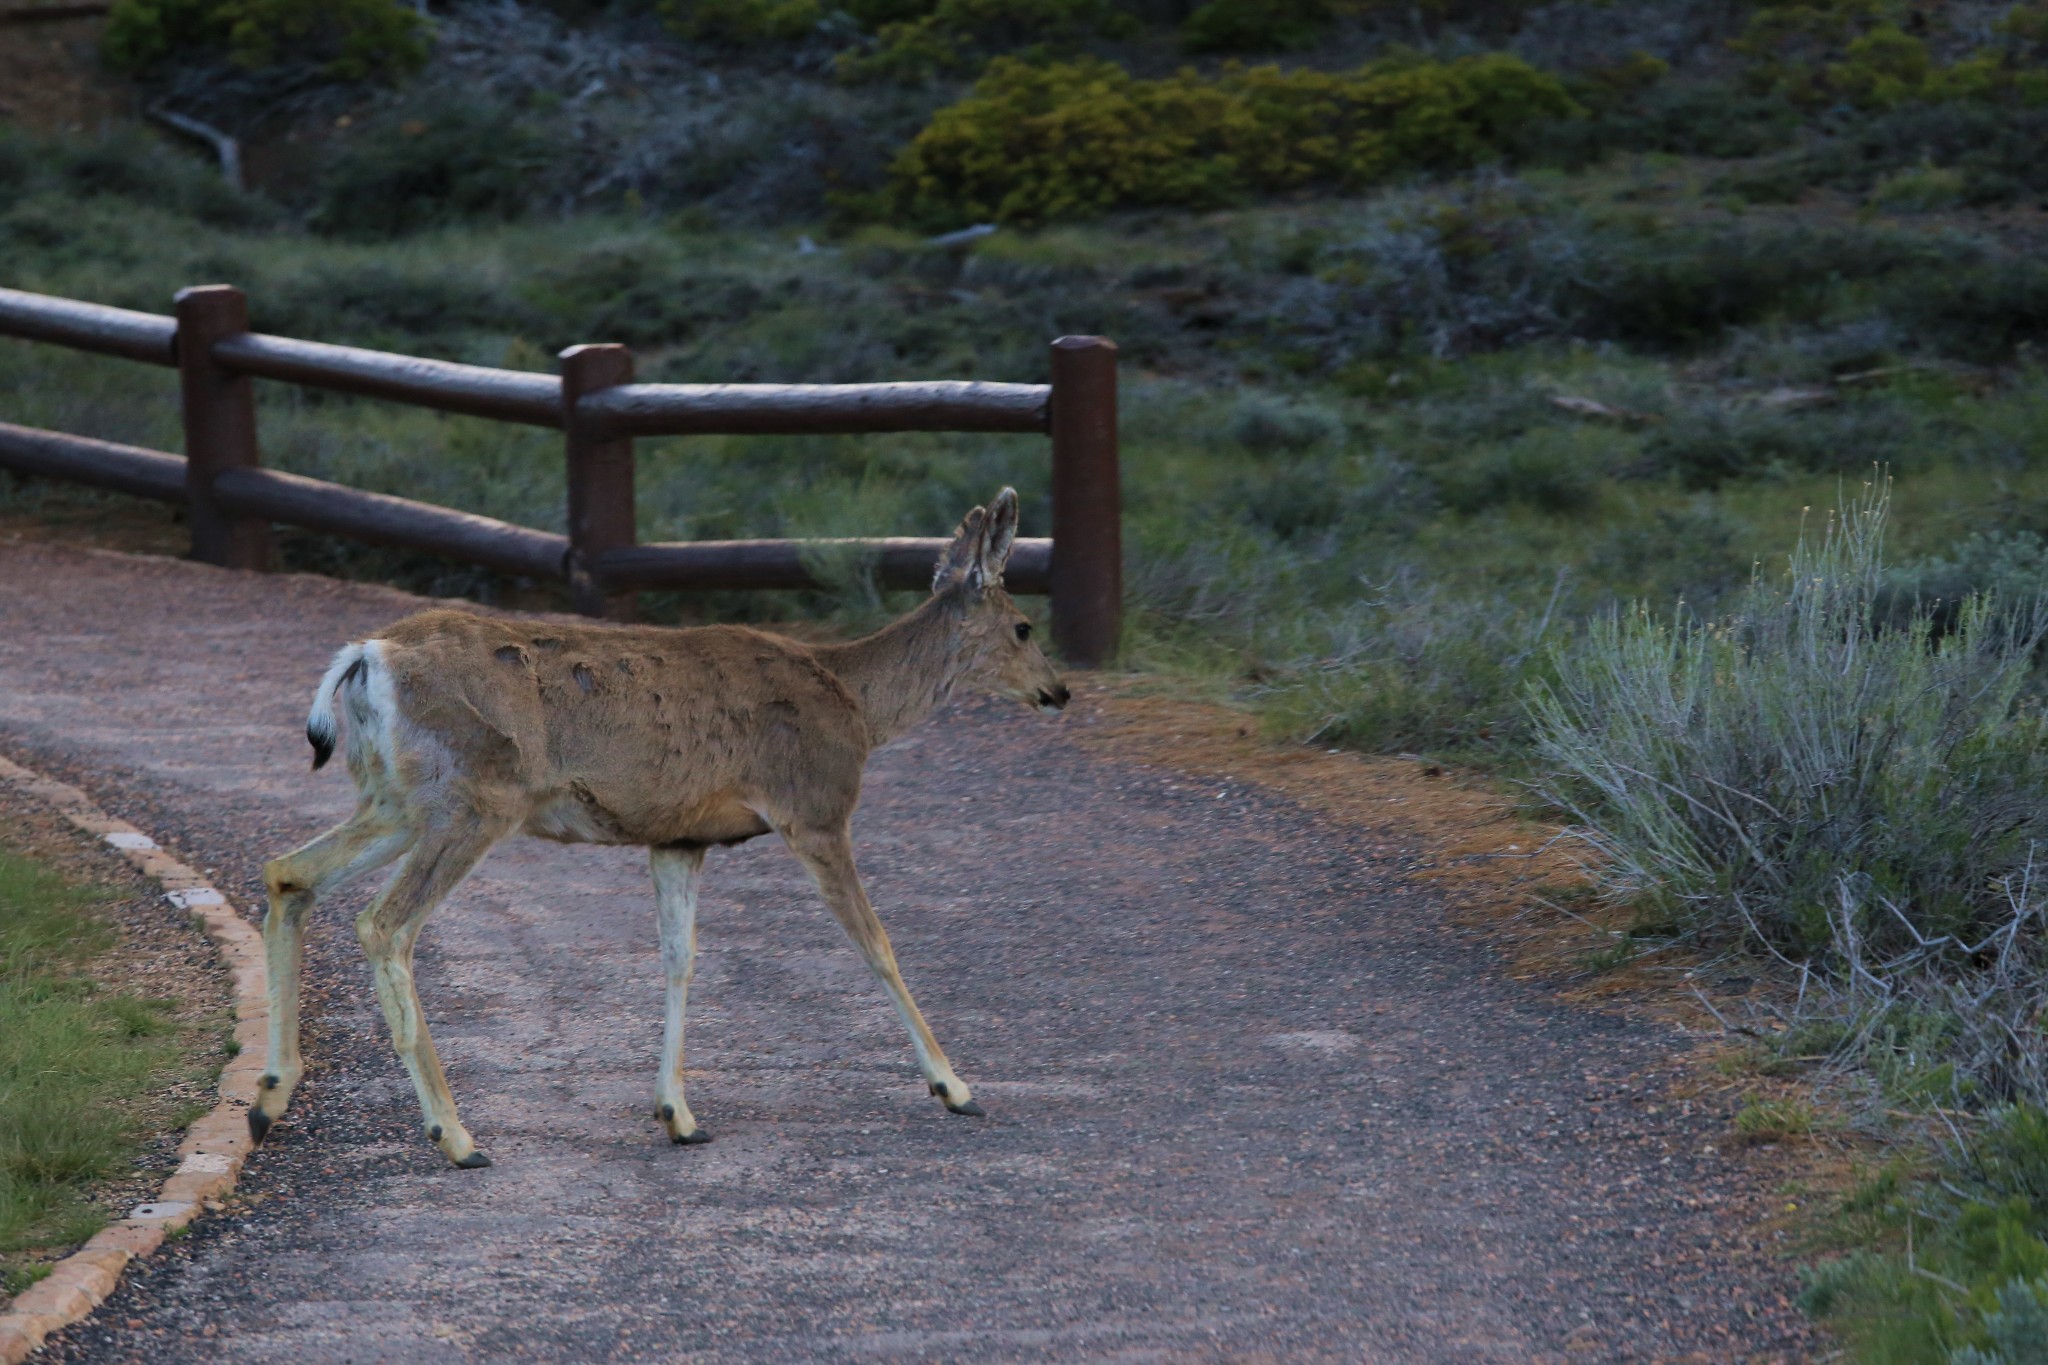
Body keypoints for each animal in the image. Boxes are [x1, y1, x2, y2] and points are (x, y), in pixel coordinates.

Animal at [251, 485, 1073, 1170]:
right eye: (1024, 625)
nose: (1059, 690)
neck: (858, 706)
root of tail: (368, 654)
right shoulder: (814, 808)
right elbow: (876, 945)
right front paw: (955, 1086)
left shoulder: (679, 837)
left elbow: (679, 958)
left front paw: (677, 1113)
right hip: (475, 795)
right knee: (384, 923)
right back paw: (455, 1135)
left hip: (394, 798)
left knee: (289, 871)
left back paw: (269, 1095)